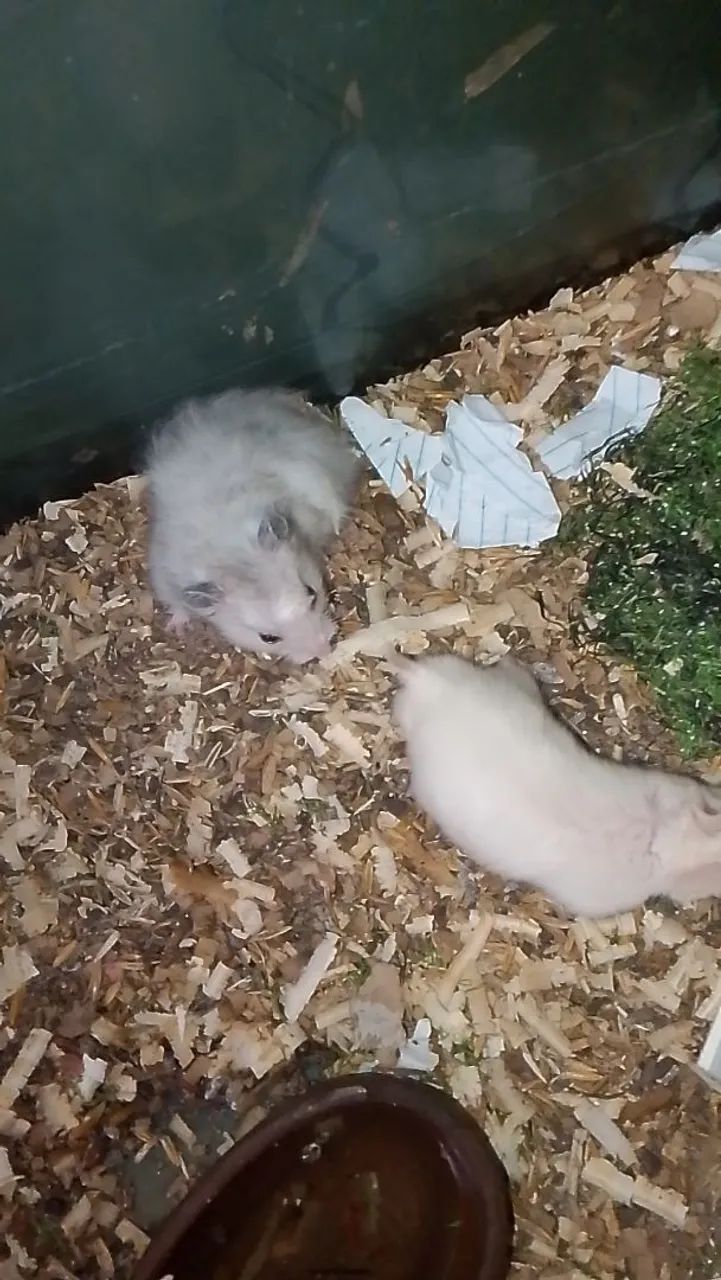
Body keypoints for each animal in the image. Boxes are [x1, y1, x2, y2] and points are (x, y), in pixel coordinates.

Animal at [146, 387, 359, 663]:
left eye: (312, 594)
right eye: (267, 638)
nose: (325, 651)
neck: (229, 553)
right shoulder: (164, 572)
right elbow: (175, 601)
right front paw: (178, 628)